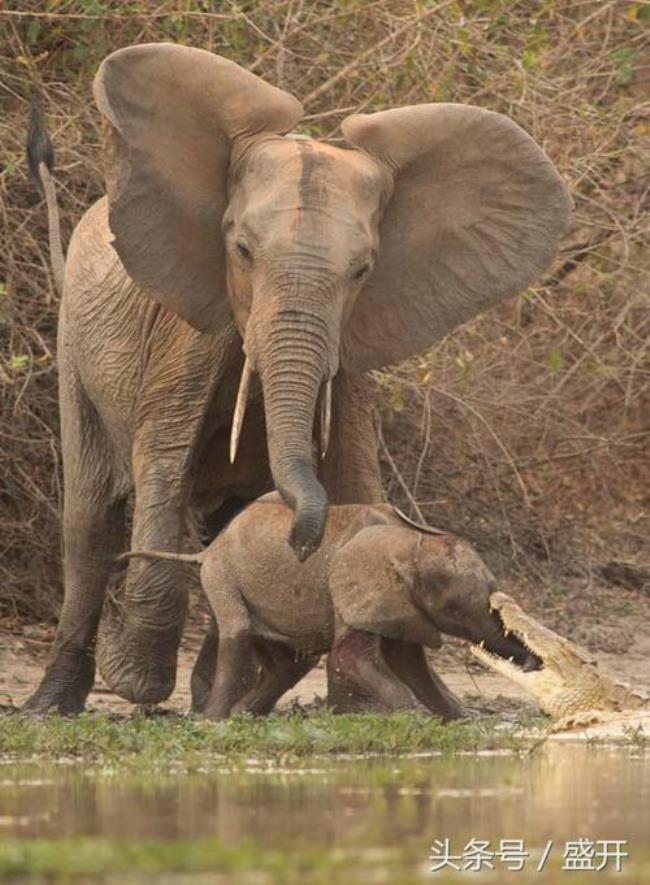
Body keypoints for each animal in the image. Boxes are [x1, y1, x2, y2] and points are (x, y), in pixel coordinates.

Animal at [124, 494, 536, 720]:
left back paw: (243, 715)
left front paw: (461, 720)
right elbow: (349, 659)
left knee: (290, 661)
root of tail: (208, 548)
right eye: (452, 608)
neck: (410, 540)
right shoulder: (357, 589)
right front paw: (410, 715)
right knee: (238, 633)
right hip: (222, 576)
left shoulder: (398, 603)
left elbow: (410, 662)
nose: (535, 663)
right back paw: (215, 721)